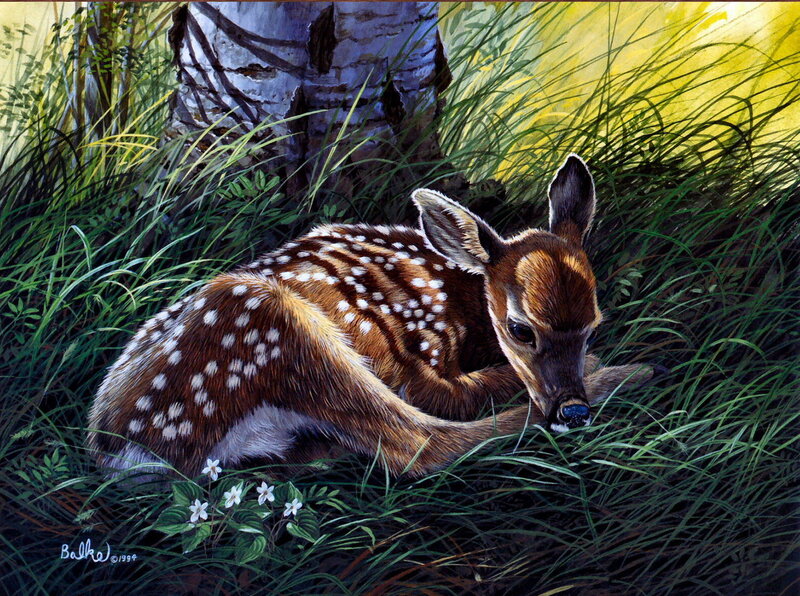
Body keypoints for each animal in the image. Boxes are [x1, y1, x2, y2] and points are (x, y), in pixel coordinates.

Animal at [87, 155, 655, 481]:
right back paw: (630, 375)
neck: (460, 304)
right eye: (521, 330)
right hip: (277, 329)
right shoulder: (415, 364)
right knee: (419, 447)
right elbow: (456, 396)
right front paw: (604, 369)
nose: (573, 410)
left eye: (593, 324)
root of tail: (118, 445)